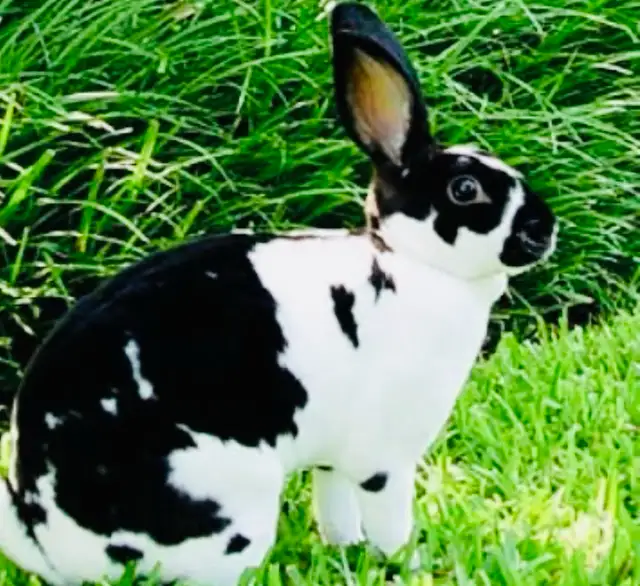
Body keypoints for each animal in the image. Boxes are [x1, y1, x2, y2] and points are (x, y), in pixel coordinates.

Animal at [0, 3, 558, 585]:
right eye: (465, 190)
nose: (545, 229)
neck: (409, 262)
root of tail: (52, 546)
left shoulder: (334, 460)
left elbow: (335, 508)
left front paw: (346, 552)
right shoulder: (385, 462)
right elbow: (388, 523)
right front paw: (407, 563)